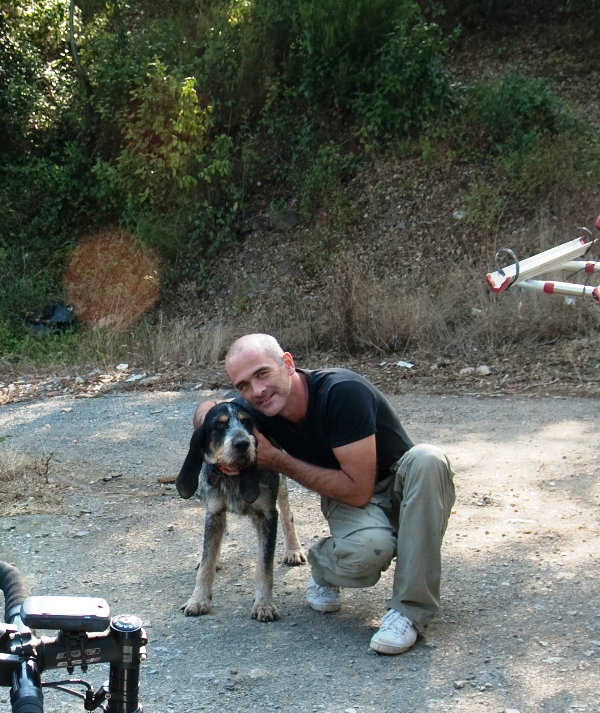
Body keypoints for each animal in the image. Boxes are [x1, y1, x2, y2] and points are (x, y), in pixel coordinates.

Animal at [173, 404, 304, 620]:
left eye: (247, 422)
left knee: (286, 512)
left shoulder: (267, 516)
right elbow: (207, 561)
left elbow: (265, 566)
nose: (242, 443)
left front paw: (264, 604)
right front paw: (198, 599)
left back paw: (293, 549)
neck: (233, 475)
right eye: (219, 425)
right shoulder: (214, 513)